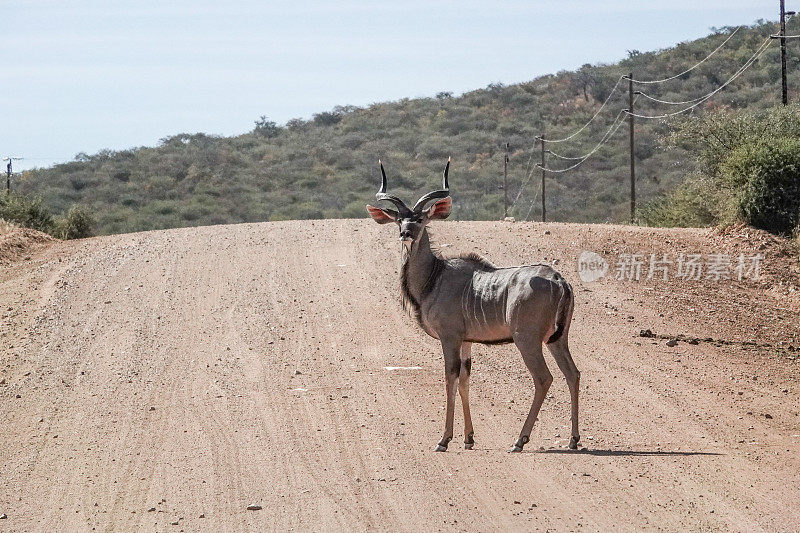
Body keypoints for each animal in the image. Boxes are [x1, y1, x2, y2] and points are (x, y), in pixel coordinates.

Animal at [366, 160, 580, 450]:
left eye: (421, 219)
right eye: (399, 220)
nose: (406, 234)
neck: (435, 277)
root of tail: (559, 280)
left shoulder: (450, 337)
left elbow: (450, 378)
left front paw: (444, 439)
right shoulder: (467, 341)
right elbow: (465, 381)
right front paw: (468, 438)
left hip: (527, 340)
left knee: (544, 378)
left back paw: (520, 440)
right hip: (557, 340)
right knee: (573, 374)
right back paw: (573, 439)